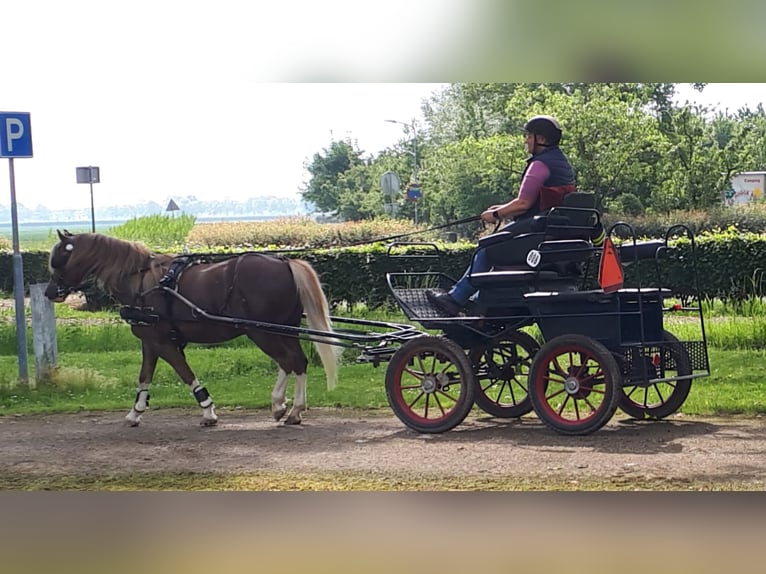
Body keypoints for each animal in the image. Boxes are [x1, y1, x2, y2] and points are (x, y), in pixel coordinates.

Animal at [44, 230, 340, 428]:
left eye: (59, 259)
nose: (49, 292)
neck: (141, 281)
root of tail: (285, 263)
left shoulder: (162, 342)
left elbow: (185, 373)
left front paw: (208, 411)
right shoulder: (150, 341)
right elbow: (144, 377)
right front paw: (136, 412)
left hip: (262, 332)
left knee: (290, 361)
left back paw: (288, 408)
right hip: (283, 329)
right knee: (295, 362)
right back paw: (286, 407)